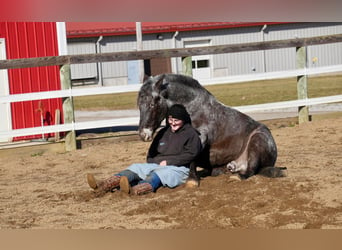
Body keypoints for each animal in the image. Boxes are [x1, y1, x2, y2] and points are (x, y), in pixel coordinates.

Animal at [138, 73, 288, 187]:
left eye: (152, 104)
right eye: (139, 105)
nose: (143, 134)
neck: (193, 111)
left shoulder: (201, 137)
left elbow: (192, 157)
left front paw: (192, 181)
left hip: (257, 140)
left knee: (251, 170)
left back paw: (237, 177)